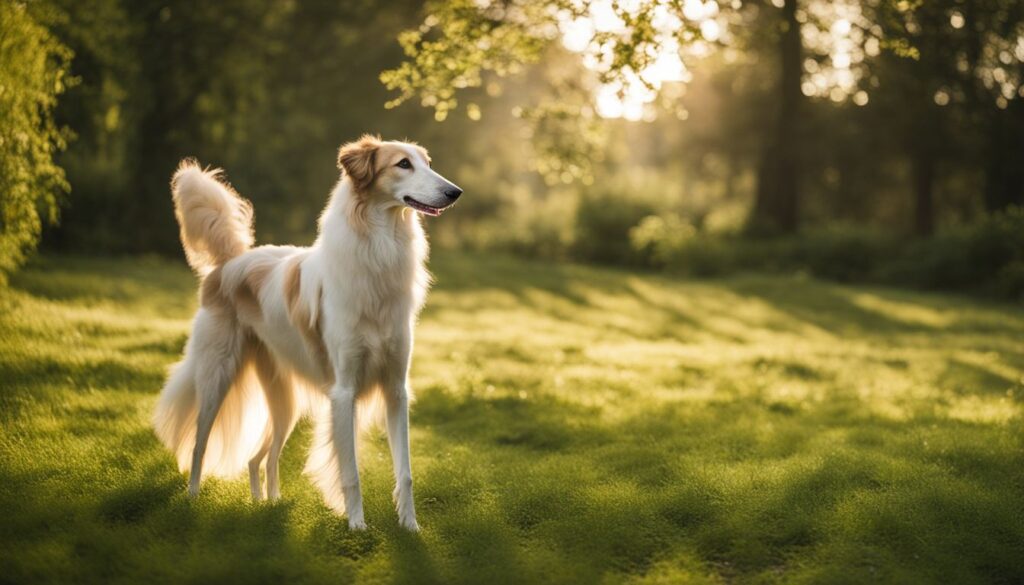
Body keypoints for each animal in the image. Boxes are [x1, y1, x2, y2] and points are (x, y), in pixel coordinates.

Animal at [151, 134, 460, 532]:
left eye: (427, 163)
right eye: (403, 164)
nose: (455, 192)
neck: (378, 248)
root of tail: (230, 262)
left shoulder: (396, 389)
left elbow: (404, 471)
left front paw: (410, 528)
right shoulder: (344, 393)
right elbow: (350, 472)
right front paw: (357, 527)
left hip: (285, 400)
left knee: (259, 458)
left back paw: (267, 504)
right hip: (216, 380)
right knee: (198, 445)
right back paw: (192, 500)